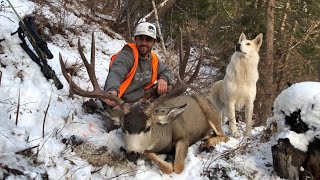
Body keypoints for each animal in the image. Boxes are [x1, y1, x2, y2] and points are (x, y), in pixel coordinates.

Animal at [58, 31, 229, 174]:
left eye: (148, 127)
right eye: (124, 127)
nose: (132, 154)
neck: (164, 135)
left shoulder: (184, 136)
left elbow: (177, 167)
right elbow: (157, 158)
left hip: (210, 111)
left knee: (224, 135)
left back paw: (206, 143)